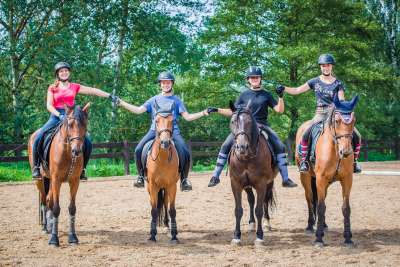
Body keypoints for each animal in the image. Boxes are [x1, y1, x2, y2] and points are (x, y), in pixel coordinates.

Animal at [28, 103, 90, 248]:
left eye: (85, 124)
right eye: (70, 124)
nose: (77, 151)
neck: (68, 152)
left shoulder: (74, 181)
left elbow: (72, 208)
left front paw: (73, 237)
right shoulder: (56, 180)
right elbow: (56, 208)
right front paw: (54, 239)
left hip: (50, 180)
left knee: (49, 199)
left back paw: (50, 226)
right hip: (41, 180)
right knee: (44, 201)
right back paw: (45, 227)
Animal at [145, 110, 180, 244]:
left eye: (172, 121)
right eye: (156, 121)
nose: (165, 142)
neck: (162, 159)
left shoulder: (172, 185)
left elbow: (172, 210)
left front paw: (174, 235)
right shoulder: (153, 186)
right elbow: (154, 210)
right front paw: (152, 235)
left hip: (165, 187)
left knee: (165, 203)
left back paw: (166, 225)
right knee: (154, 204)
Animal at [228, 101, 278, 248]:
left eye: (249, 122)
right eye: (232, 121)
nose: (242, 147)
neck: (247, 158)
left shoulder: (261, 184)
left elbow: (259, 210)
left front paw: (260, 237)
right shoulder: (236, 184)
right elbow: (238, 210)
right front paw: (236, 237)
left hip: (269, 183)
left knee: (265, 201)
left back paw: (267, 224)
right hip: (247, 185)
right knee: (251, 200)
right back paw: (251, 224)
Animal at [294, 95, 360, 248]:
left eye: (353, 120)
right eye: (337, 121)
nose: (345, 152)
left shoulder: (347, 180)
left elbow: (346, 208)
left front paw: (348, 238)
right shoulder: (320, 179)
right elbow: (320, 206)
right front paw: (319, 239)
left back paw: (323, 225)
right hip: (306, 177)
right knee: (310, 198)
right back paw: (310, 226)